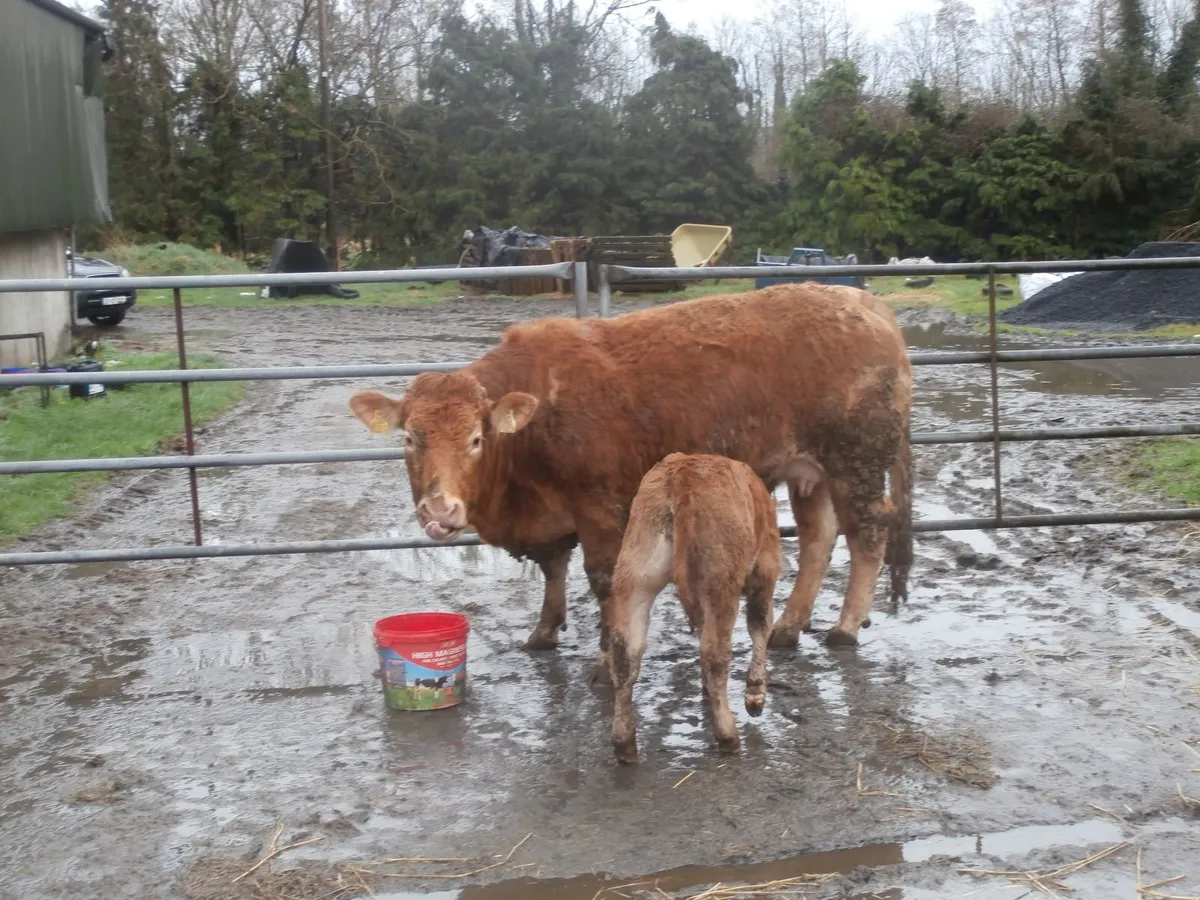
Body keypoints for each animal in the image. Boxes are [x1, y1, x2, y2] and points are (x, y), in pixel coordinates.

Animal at [349, 283, 913, 682]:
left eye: (474, 439)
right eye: (409, 439)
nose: (440, 511)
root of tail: (867, 303)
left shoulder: (599, 508)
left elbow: (603, 580)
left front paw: (604, 658)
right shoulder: (553, 515)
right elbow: (554, 569)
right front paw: (544, 630)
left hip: (857, 459)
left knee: (868, 532)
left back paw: (844, 628)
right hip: (810, 472)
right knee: (820, 536)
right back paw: (788, 627)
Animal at [606, 453, 781, 762]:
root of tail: (682, 473)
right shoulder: (765, 568)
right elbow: (760, 624)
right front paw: (755, 694)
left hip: (635, 573)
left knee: (625, 651)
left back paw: (624, 744)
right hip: (721, 578)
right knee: (715, 651)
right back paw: (728, 736)